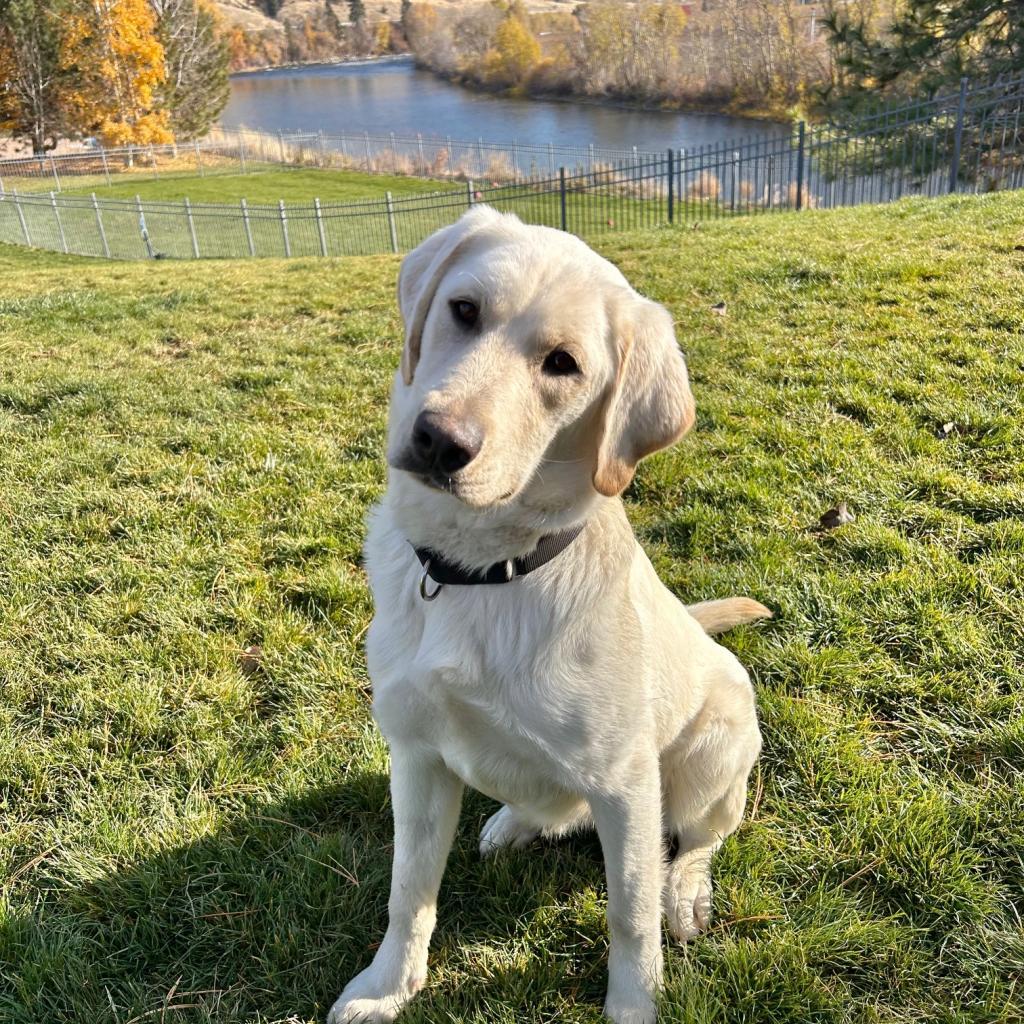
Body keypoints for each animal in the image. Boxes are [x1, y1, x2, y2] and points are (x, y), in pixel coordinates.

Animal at [327, 207, 770, 1024]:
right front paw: (386, 988)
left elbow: (630, 915)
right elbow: (409, 891)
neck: (478, 574)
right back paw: (513, 822)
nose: (439, 439)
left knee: (698, 838)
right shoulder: (416, 756)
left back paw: (686, 890)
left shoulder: (626, 785)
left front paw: (632, 1007)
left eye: (562, 364)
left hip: (713, 750)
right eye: (463, 309)